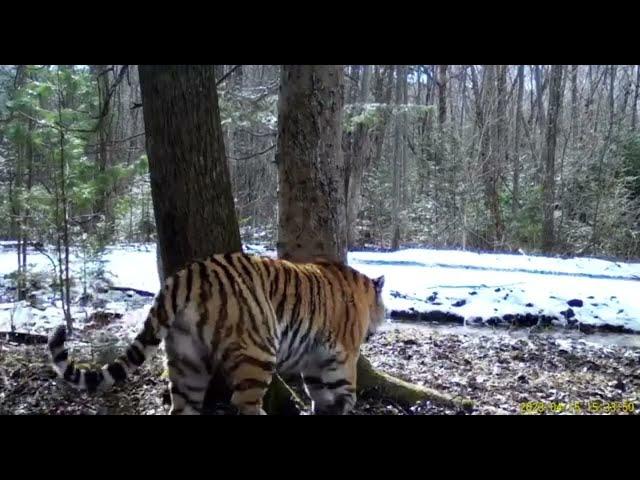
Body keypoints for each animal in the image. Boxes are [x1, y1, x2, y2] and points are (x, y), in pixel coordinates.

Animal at [48, 253, 384, 414]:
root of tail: (187, 275)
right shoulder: (342, 357)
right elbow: (345, 396)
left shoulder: (314, 364)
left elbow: (321, 400)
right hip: (258, 353)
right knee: (245, 403)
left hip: (187, 362)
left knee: (182, 407)